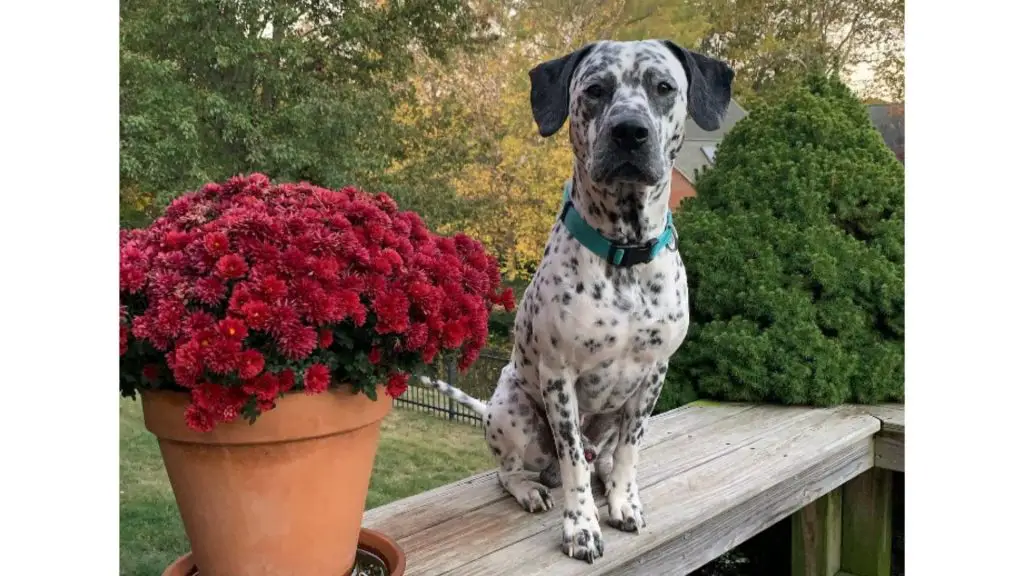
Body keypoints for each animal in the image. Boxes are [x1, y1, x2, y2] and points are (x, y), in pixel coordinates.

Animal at [425, 38, 737, 557]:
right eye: (595, 89)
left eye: (663, 86)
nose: (629, 131)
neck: (624, 255)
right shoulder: (559, 377)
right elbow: (571, 459)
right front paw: (581, 526)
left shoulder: (653, 375)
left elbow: (630, 450)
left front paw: (623, 503)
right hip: (511, 409)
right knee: (509, 472)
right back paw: (530, 489)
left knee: (602, 459)